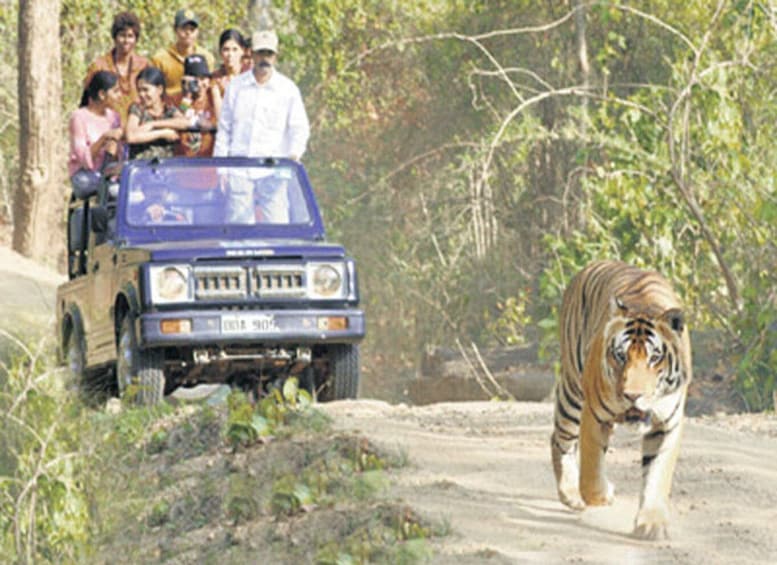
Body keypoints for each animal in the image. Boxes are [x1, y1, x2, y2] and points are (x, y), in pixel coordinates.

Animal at [552, 258, 692, 536]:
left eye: (654, 357)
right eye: (620, 355)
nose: (632, 395)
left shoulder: (667, 425)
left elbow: (657, 475)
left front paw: (651, 524)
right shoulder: (594, 415)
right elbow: (591, 474)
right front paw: (603, 495)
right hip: (573, 391)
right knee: (560, 439)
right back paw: (570, 494)